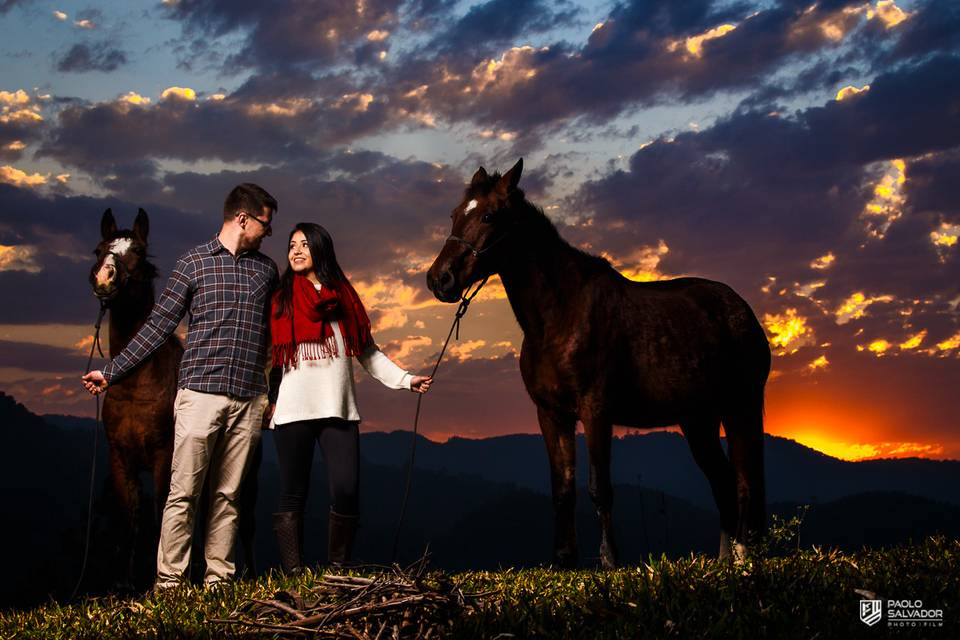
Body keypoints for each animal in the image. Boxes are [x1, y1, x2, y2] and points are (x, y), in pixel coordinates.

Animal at [428, 162, 772, 568]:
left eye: (488, 215)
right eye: (454, 214)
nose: (439, 279)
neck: (560, 316)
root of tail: (740, 309)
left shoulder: (595, 411)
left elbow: (599, 487)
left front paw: (609, 560)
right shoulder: (551, 415)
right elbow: (562, 489)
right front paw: (564, 560)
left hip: (740, 408)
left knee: (744, 482)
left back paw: (743, 559)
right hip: (698, 421)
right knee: (722, 483)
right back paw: (724, 562)